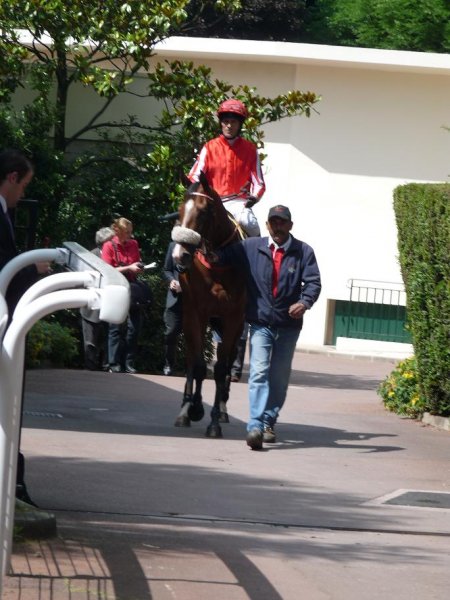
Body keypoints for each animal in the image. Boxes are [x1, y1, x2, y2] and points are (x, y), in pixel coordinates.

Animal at [171, 171, 246, 438]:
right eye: (180, 209)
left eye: (203, 212)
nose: (180, 255)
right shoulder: (195, 313)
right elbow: (199, 365)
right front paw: (193, 408)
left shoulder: (233, 317)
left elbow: (222, 368)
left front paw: (214, 421)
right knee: (191, 360)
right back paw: (185, 409)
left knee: (229, 359)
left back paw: (222, 409)